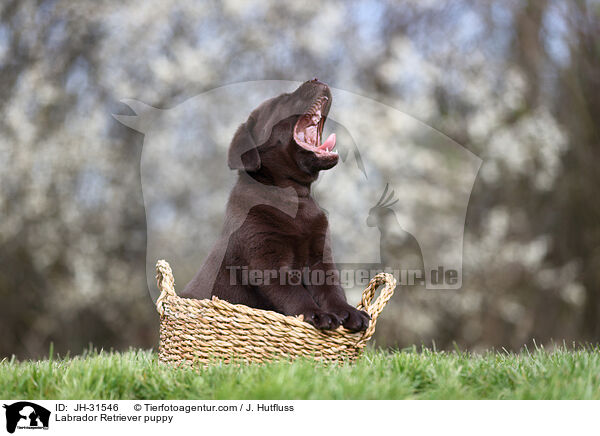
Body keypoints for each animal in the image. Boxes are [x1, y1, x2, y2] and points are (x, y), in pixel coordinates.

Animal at [183, 79, 370, 330]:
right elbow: (295, 293)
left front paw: (348, 312)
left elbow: (332, 289)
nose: (316, 79)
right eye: (283, 100)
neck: (293, 198)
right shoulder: (266, 261)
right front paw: (316, 314)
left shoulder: (320, 259)